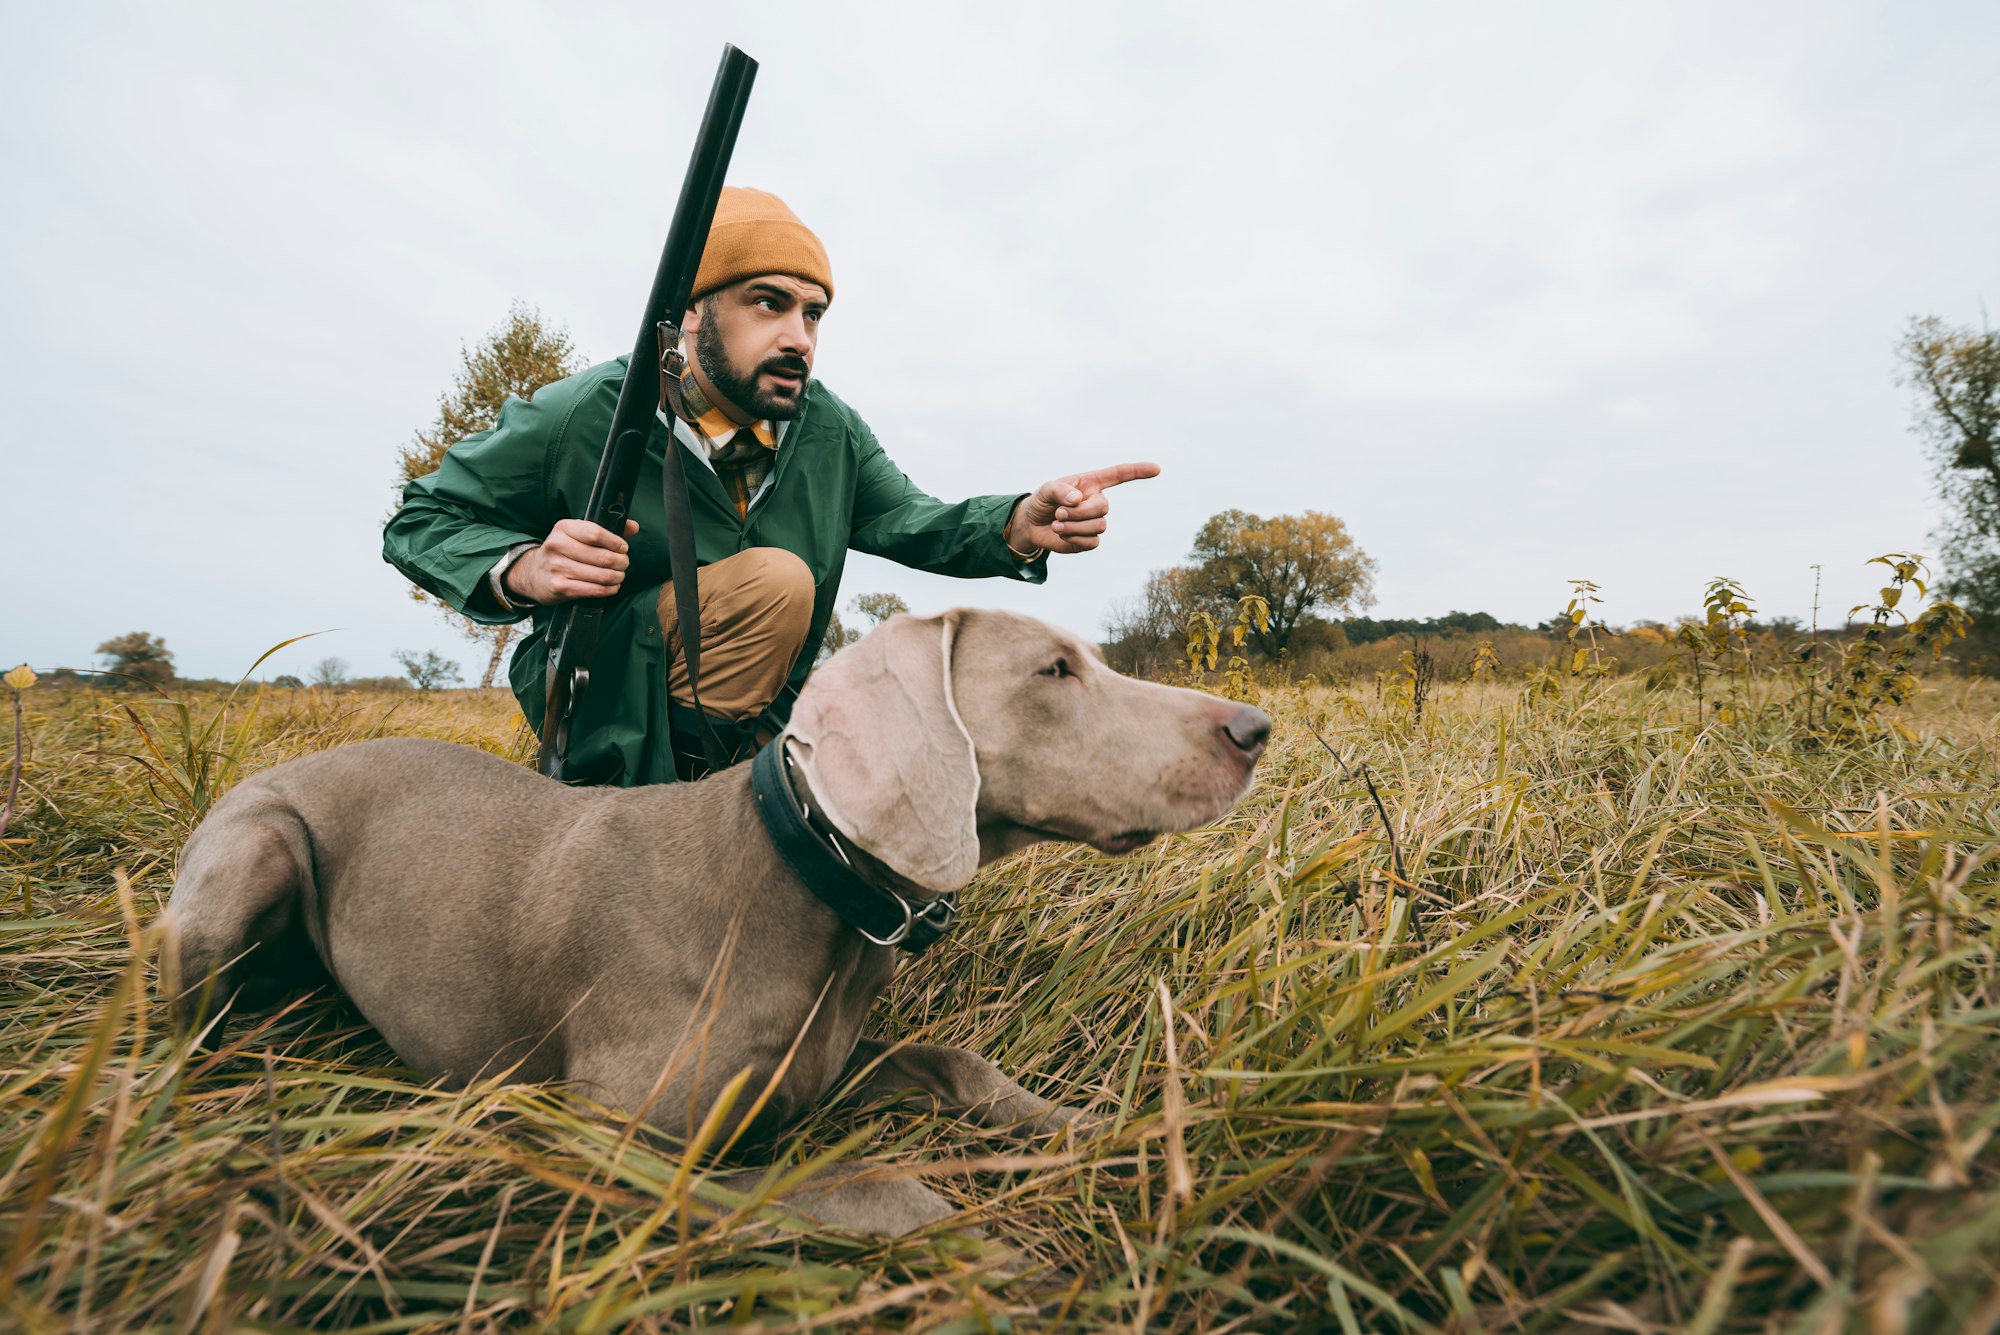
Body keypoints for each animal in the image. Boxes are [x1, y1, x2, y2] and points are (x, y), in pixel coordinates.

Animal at [168, 611, 1264, 1239]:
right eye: (1053, 671)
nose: (1255, 729)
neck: (802, 884)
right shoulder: (585, 1131)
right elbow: (862, 1185)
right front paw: (976, 1247)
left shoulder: (825, 1063)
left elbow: (961, 1063)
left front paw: (1109, 1130)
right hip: (255, 849)